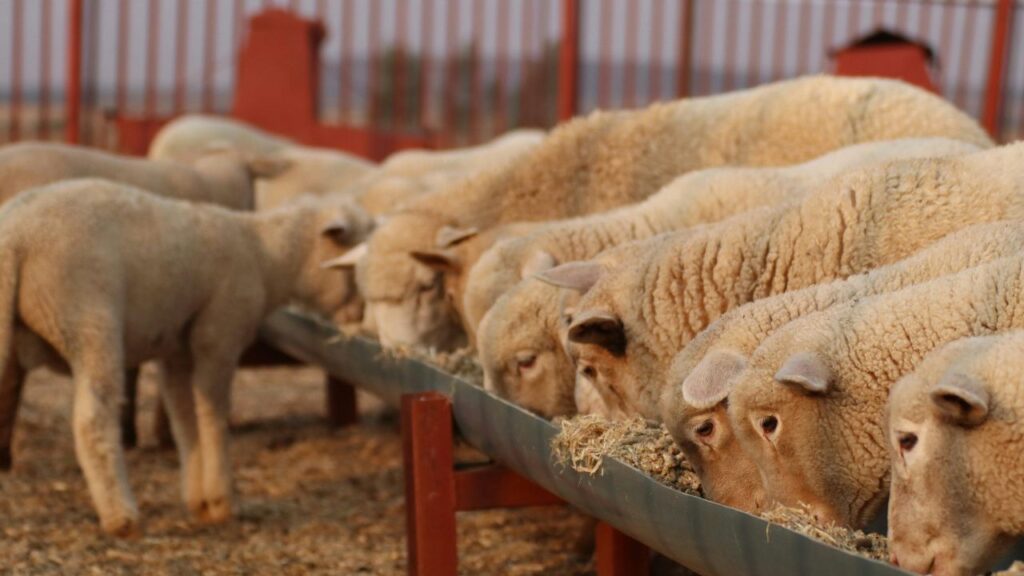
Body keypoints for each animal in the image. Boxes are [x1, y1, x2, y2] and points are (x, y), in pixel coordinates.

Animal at [0, 179, 373, 535]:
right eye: (352, 263)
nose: (362, 316)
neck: (265, 257)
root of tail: (16, 237)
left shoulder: (176, 350)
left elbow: (184, 419)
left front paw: (199, 502)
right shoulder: (219, 332)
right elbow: (213, 415)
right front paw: (222, 501)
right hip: (88, 318)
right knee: (93, 421)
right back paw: (121, 517)